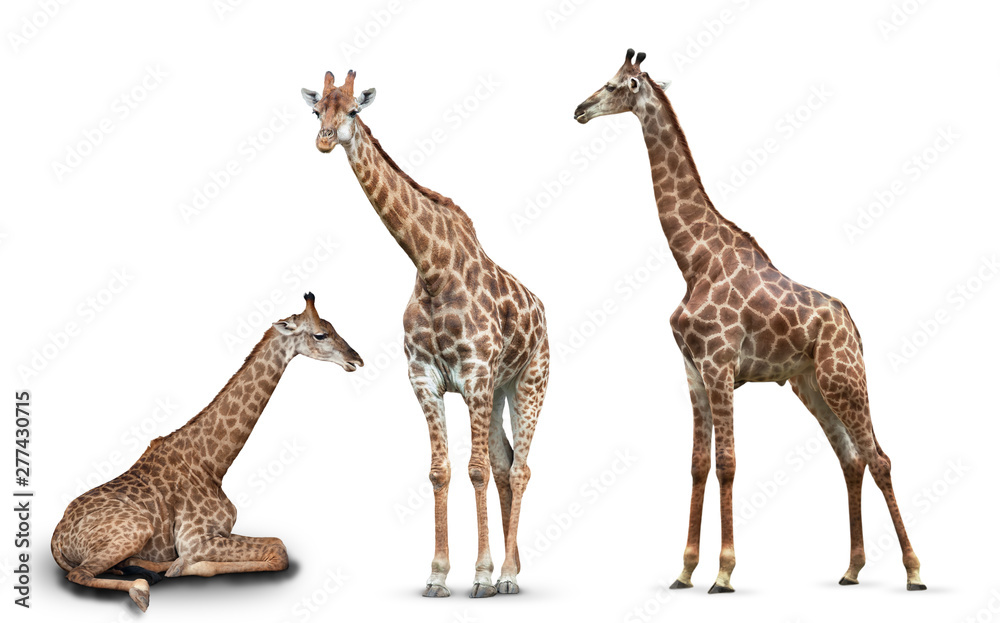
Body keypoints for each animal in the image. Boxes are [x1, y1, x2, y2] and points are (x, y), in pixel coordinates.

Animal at [51, 293, 363, 612]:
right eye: (320, 334)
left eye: (332, 327)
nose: (356, 360)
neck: (213, 463)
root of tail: (57, 539)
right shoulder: (195, 539)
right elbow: (279, 551)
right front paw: (183, 567)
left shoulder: (219, 532)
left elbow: (277, 544)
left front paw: (173, 566)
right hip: (135, 529)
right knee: (80, 573)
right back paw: (142, 587)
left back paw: (148, 568)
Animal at [301, 70, 549, 598]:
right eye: (316, 111)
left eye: (353, 109)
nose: (325, 140)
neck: (432, 268)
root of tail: (541, 310)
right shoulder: (425, 380)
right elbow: (441, 472)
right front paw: (438, 576)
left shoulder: (473, 375)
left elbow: (475, 470)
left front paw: (480, 576)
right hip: (498, 389)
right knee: (505, 464)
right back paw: (512, 569)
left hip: (529, 382)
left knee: (520, 468)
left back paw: (509, 576)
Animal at [573, 49, 925, 593]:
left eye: (615, 85)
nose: (580, 109)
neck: (692, 260)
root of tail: (853, 327)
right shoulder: (693, 372)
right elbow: (698, 465)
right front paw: (684, 569)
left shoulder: (719, 365)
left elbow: (728, 464)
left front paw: (723, 572)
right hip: (811, 384)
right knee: (851, 459)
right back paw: (851, 569)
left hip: (844, 378)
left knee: (880, 458)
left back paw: (913, 571)